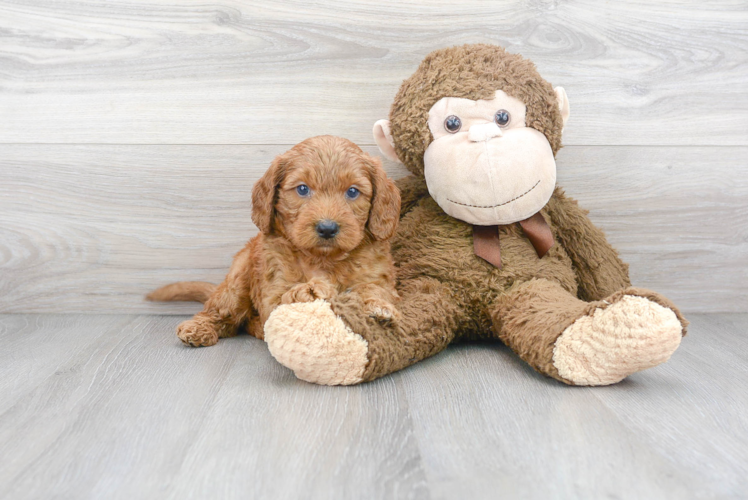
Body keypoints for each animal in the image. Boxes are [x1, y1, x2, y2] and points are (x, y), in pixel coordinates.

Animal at [148, 137, 400, 348]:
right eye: (302, 189)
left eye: (353, 192)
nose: (327, 228)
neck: (323, 259)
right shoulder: (272, 291)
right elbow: (285, 300)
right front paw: (310, 289)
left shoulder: (377, 276)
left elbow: (374, 289)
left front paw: (377, 307)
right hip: (237, 280)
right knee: (221, 314)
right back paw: (198, 328)